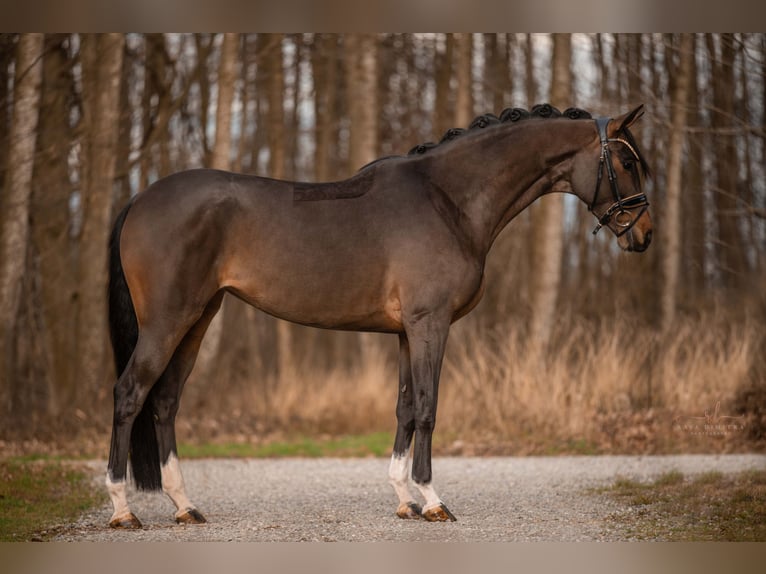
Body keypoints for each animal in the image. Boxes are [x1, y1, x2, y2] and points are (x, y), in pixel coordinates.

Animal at [103, 104, 656, 532]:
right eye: (627, 161)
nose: (645, 234)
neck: (448, 200)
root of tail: (140, 197)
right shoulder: (430, 324)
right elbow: (429, 406)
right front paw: (432, 501)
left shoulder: (407, 331)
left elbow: (405, 408)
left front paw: (405, 499)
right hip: (168, 320)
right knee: (130, 393)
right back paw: (123, 510)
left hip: (199, 319)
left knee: (165, 401)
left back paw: (184, 506)